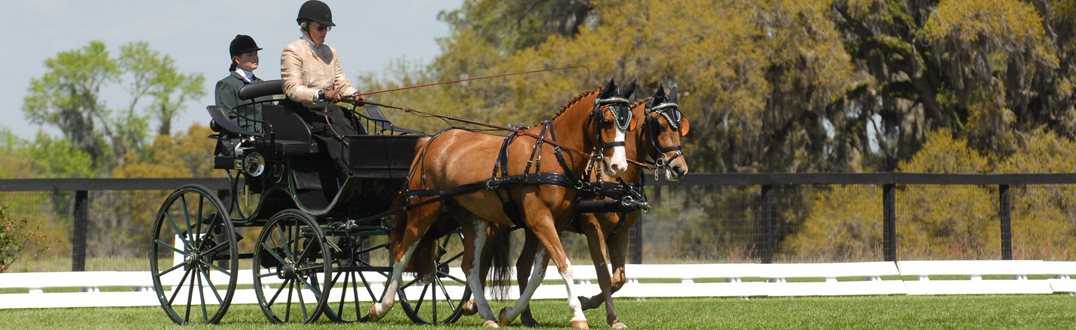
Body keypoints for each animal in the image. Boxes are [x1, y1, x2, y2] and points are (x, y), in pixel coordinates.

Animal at [372, 79, 636, 328]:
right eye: (607, 121)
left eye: (629, 123)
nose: (618, 167)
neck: (554, 155)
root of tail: (430, 140)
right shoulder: (539, 220)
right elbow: (564, 266)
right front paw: (578, 316)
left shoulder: (556, 224)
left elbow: (538, 274)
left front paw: (509, 314)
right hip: (423, 210)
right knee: (401, 254)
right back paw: (380, 307)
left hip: (472, 219)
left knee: (470, 266)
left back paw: (488, 316)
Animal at [503, 84, 688, 328]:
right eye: (660, 126)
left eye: (681, 126)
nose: (680, 168)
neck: (613, 180)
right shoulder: (593, 228)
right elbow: (604, 276)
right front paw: (610, 317)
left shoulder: (620, 233)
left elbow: (619, 278)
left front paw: (588, 302)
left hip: (534, 226)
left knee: (523, 266)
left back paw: (525, 316)